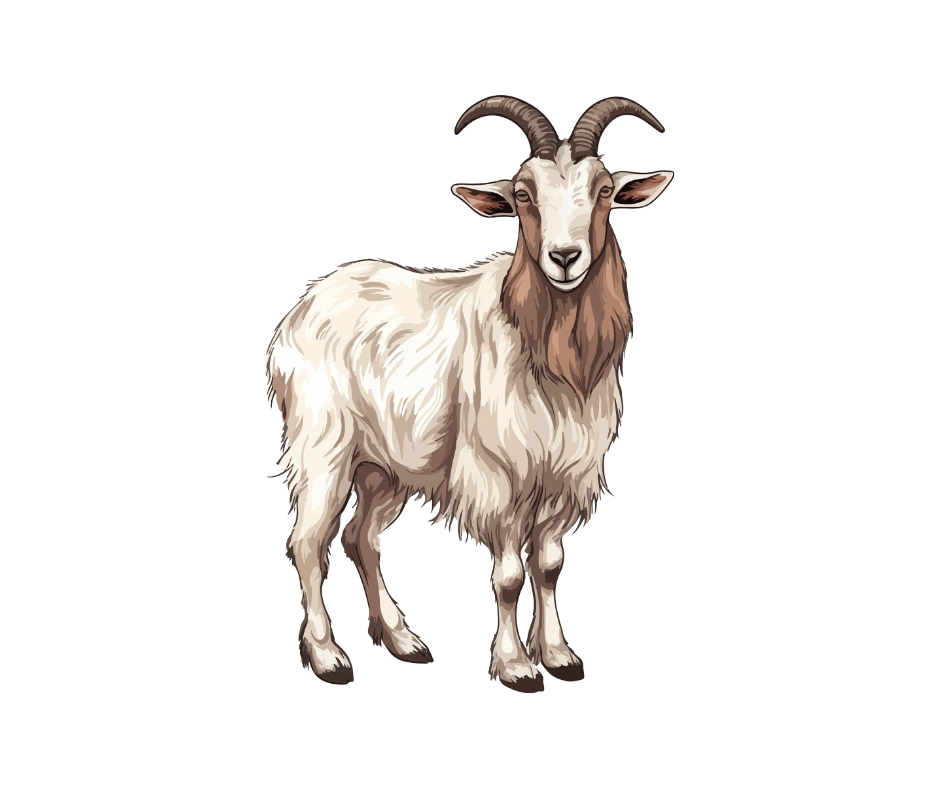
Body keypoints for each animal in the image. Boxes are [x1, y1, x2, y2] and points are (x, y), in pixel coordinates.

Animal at [265, 96, 674, 690]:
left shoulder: (562, 478)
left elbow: (548, 565)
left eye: (602, 190)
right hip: (325, 449)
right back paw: (328, 657)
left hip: (385, 466)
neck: (546, 356)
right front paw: (515, 666)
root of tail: (299, 313)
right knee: (308, 543)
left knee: (363, 536)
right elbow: (506, 574)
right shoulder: (499, 476)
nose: (565, 257)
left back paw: (404, 641)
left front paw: (558, 655)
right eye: (523, 194)